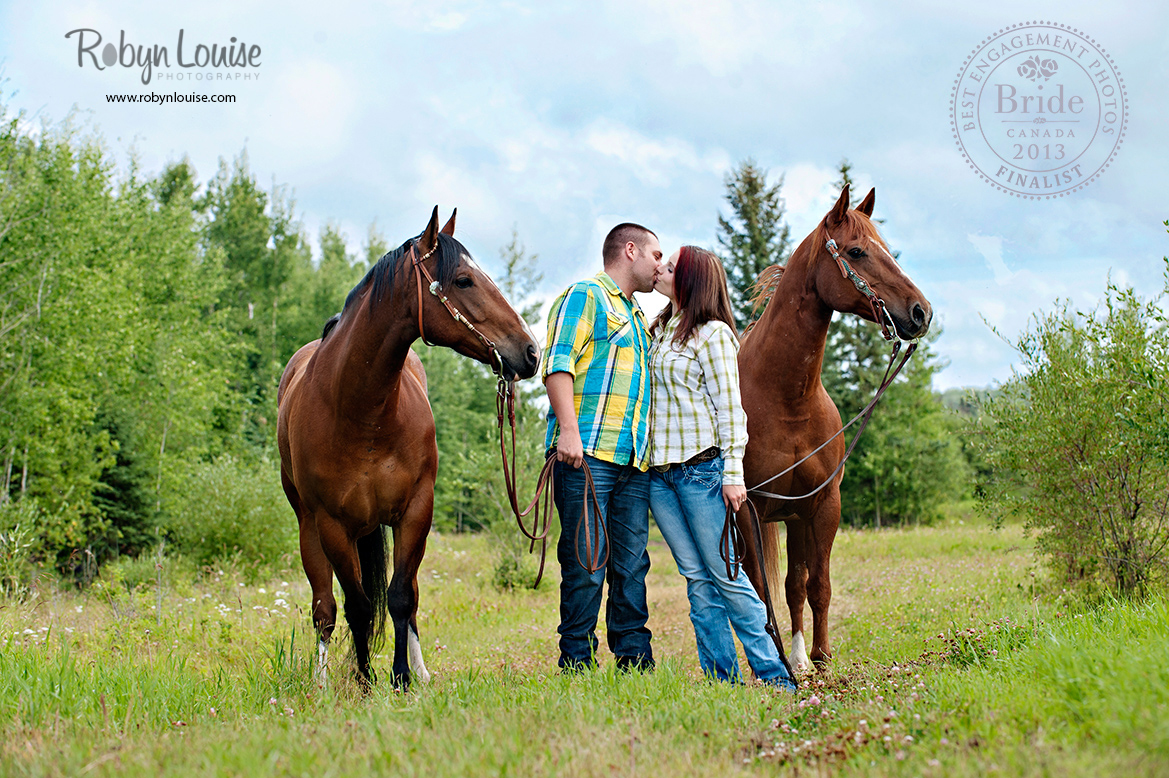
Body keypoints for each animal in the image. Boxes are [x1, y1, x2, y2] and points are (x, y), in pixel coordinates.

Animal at [278, 205, 537, 686]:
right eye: (463, 280)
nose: (530, 352)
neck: (362, 411)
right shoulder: (333, 525)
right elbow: (359, 607)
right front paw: (364, 681)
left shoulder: (416, 510)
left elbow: (400, 597)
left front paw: (402, 677)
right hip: (310, 527)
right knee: (325, 608)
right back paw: (322, 680)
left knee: (407, 599)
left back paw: (421, 672)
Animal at [738, 184, 930, 668]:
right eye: (857, 251)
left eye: (885, 248)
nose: (921, 312)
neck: (787, 400)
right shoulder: (750, 509)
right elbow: (757, 591)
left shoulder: (823, 505)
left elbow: (815, 586)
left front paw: (821, 658)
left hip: (793, 519)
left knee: (793, 586)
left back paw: (799, 658)